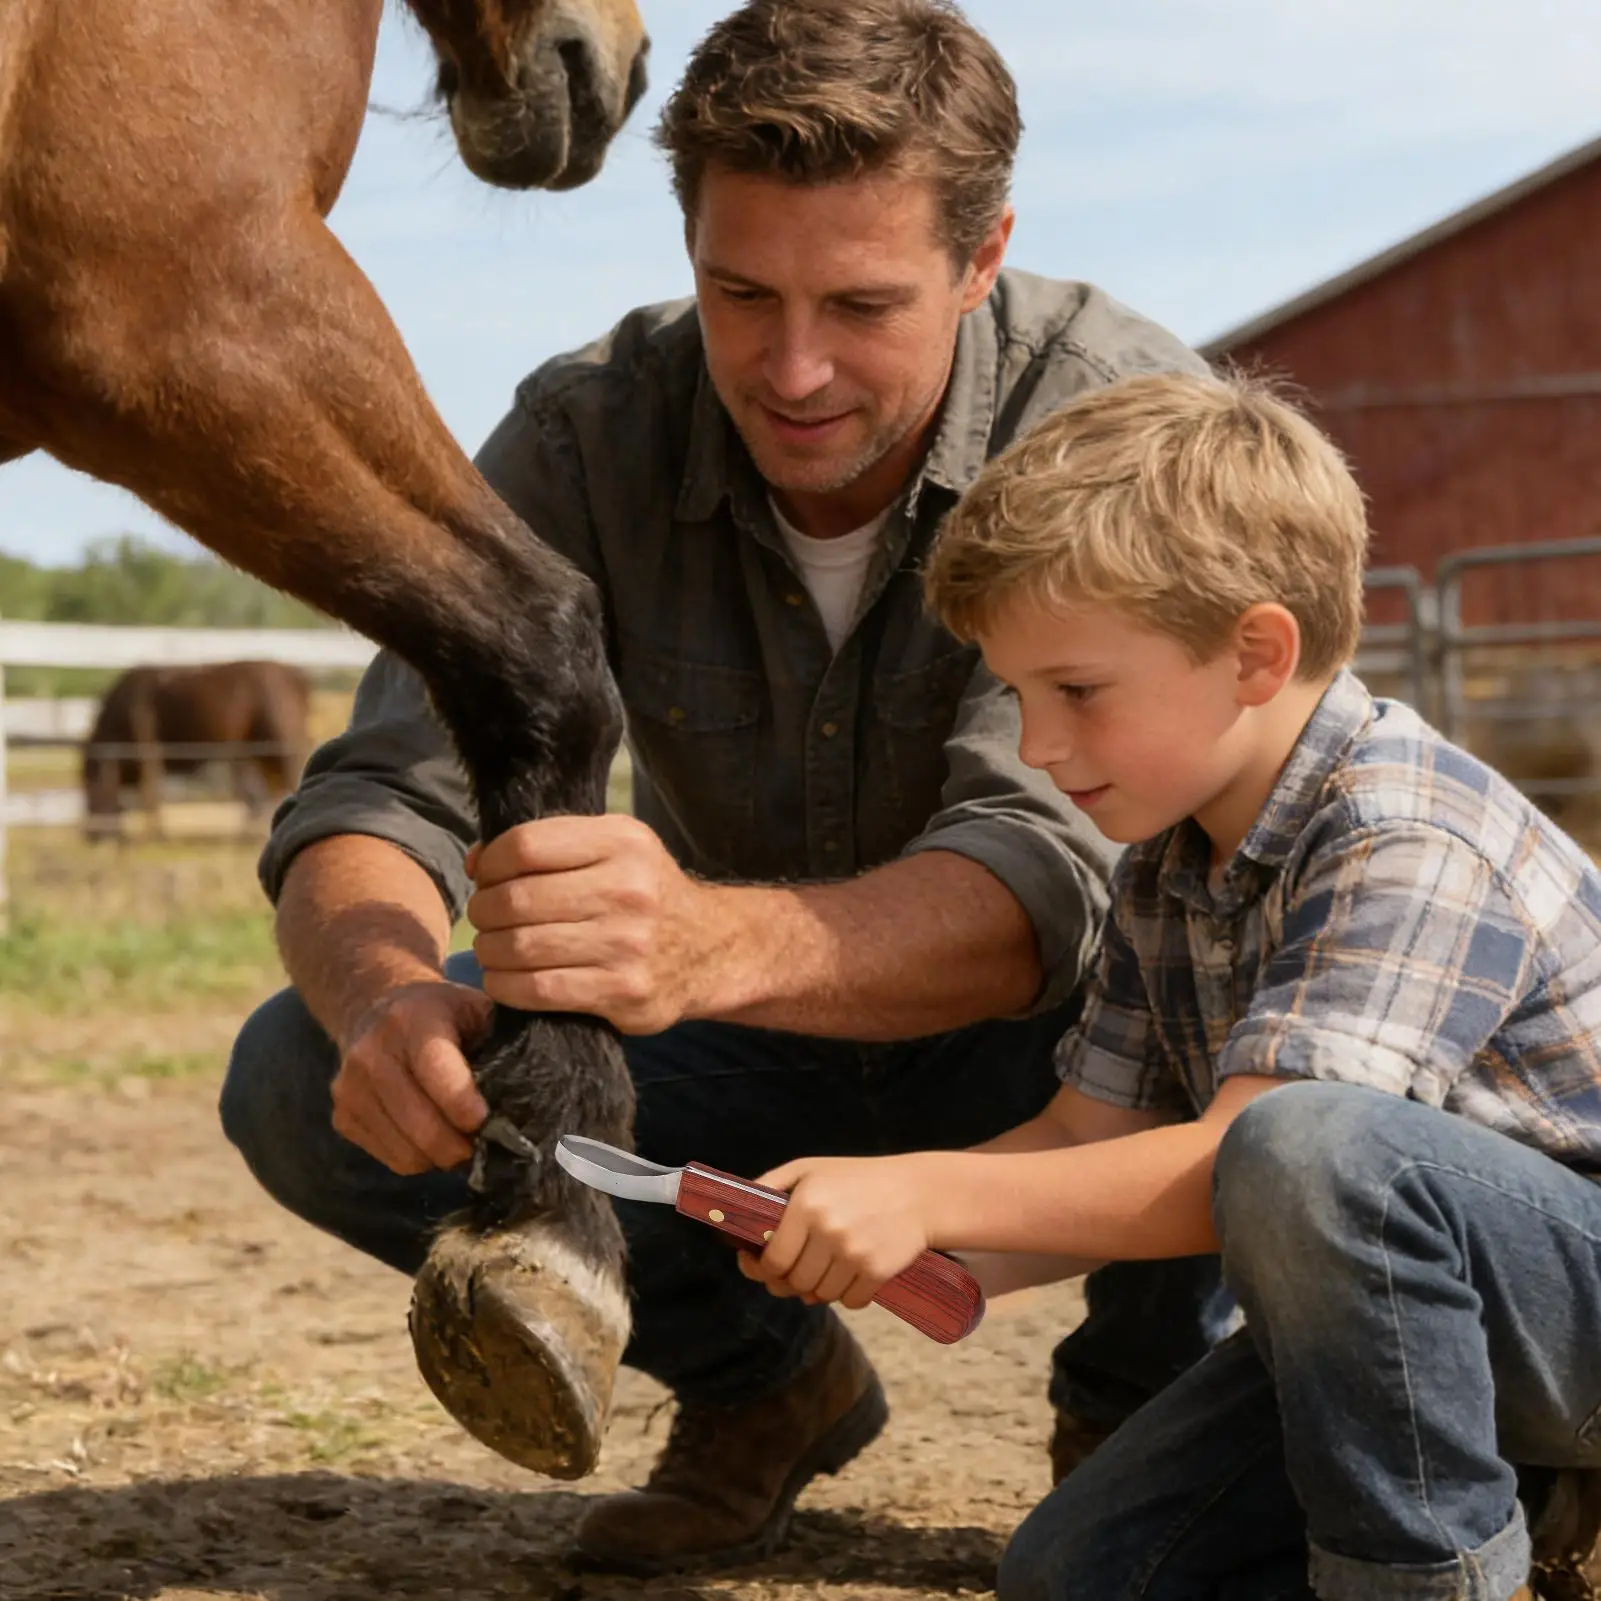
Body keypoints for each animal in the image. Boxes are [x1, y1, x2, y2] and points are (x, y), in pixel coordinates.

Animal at [82, 660, 312, 838]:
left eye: (92, 787)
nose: (91, 835)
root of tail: (295, 674)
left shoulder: (149, 750)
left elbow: (151, 794)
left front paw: (156, 833)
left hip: (283, 745)